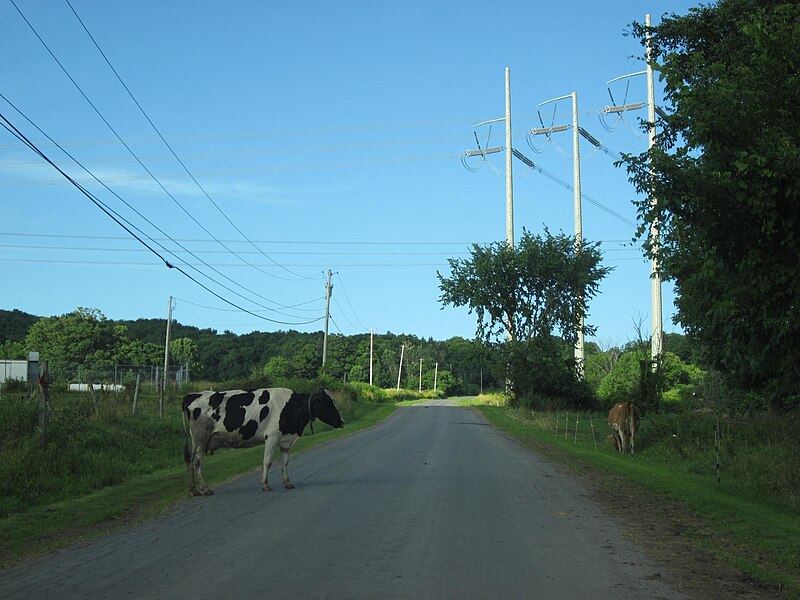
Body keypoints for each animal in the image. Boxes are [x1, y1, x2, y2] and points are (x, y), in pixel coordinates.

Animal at [181, 386, 344, 494]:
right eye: (328, 403)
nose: (342, 422)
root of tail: (190, 396)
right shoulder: (272, 437)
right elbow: (268, 461)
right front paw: (265, 485)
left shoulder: (285, 440)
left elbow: (285, 462)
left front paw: (287, 483)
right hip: (201, 438)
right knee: (197, 462)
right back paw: (205, 489)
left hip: (198, 441)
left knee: (190, 461)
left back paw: (194, 490)